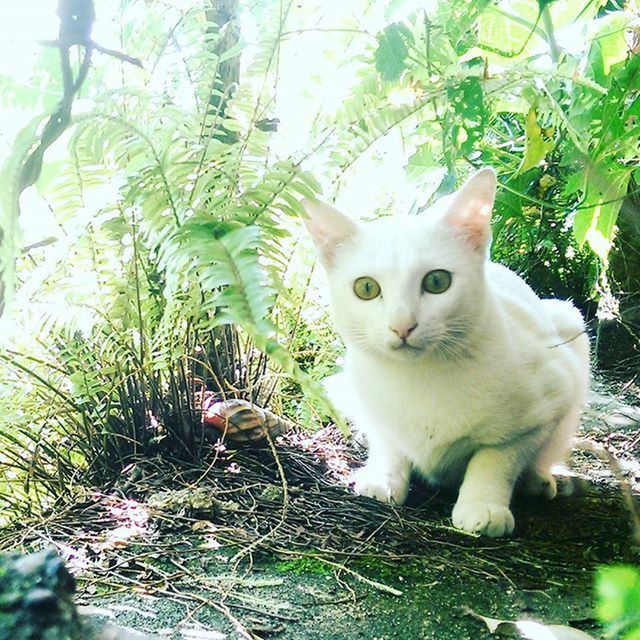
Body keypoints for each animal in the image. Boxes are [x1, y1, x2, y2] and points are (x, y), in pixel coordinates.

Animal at [304, 169, 592, 536]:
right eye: (366, 288)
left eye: (437, 281)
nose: (402, 325)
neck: (419, 378)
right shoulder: (368, 399)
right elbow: (388, 440)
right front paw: (384, 477)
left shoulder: (549, 400)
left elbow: (497, 457)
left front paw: (483, 505)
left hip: (569, 320)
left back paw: (537, 480)